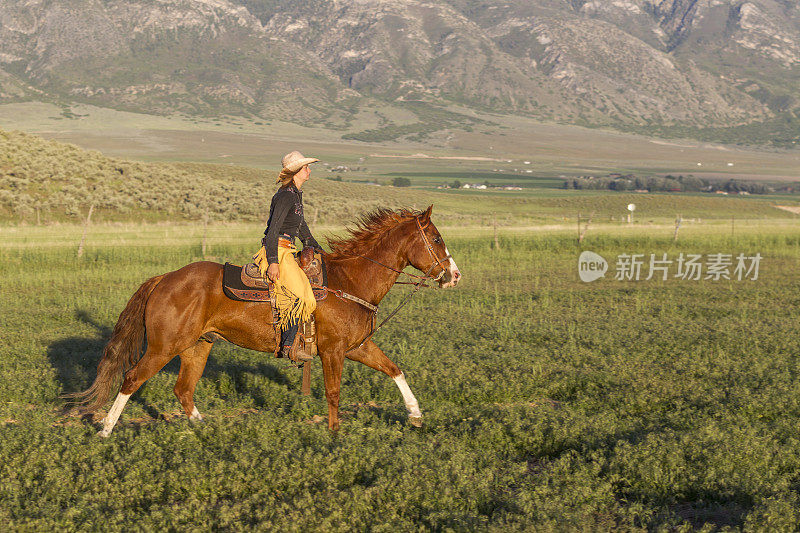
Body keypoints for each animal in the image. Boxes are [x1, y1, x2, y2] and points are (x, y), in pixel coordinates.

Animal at [72, 206, 466, 434]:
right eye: (436, 238)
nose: (454, 275)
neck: (350, 282)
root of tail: (164, 278)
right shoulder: (333, 351)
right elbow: (334, 391)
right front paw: (334, 433)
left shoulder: (358, 346)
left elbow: (395, 370)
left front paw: (415, 415)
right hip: (162, 347)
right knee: (131, 379)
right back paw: (106, 429)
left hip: (198, 346)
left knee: (183, 389)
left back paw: (203, 428)